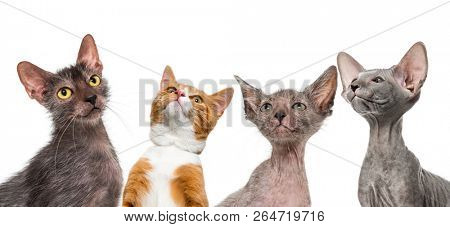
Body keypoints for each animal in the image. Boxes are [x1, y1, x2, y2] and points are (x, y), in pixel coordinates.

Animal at [123, 66, 234, 207]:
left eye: (197, 99)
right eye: (171, 89)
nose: (179, 92)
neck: (172, 145)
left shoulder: (196, 192)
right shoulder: (136, 181)